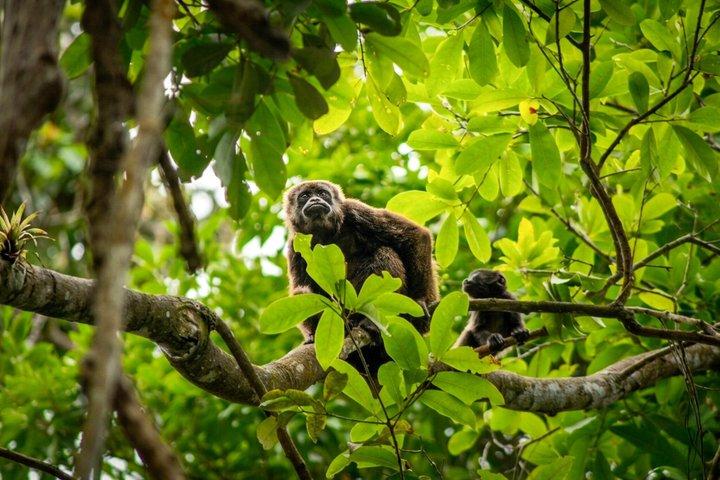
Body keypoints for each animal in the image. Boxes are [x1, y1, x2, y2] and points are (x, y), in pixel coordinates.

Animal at [283, 180, 439, 374]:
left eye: (322, 193)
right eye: (304, 196)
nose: (315, 200)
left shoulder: (355, 211)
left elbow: (416, 236)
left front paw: (420, 300)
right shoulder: (295, 244)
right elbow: (301, 287)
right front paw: (311, 335)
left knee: (384, 253)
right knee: (302, 292)